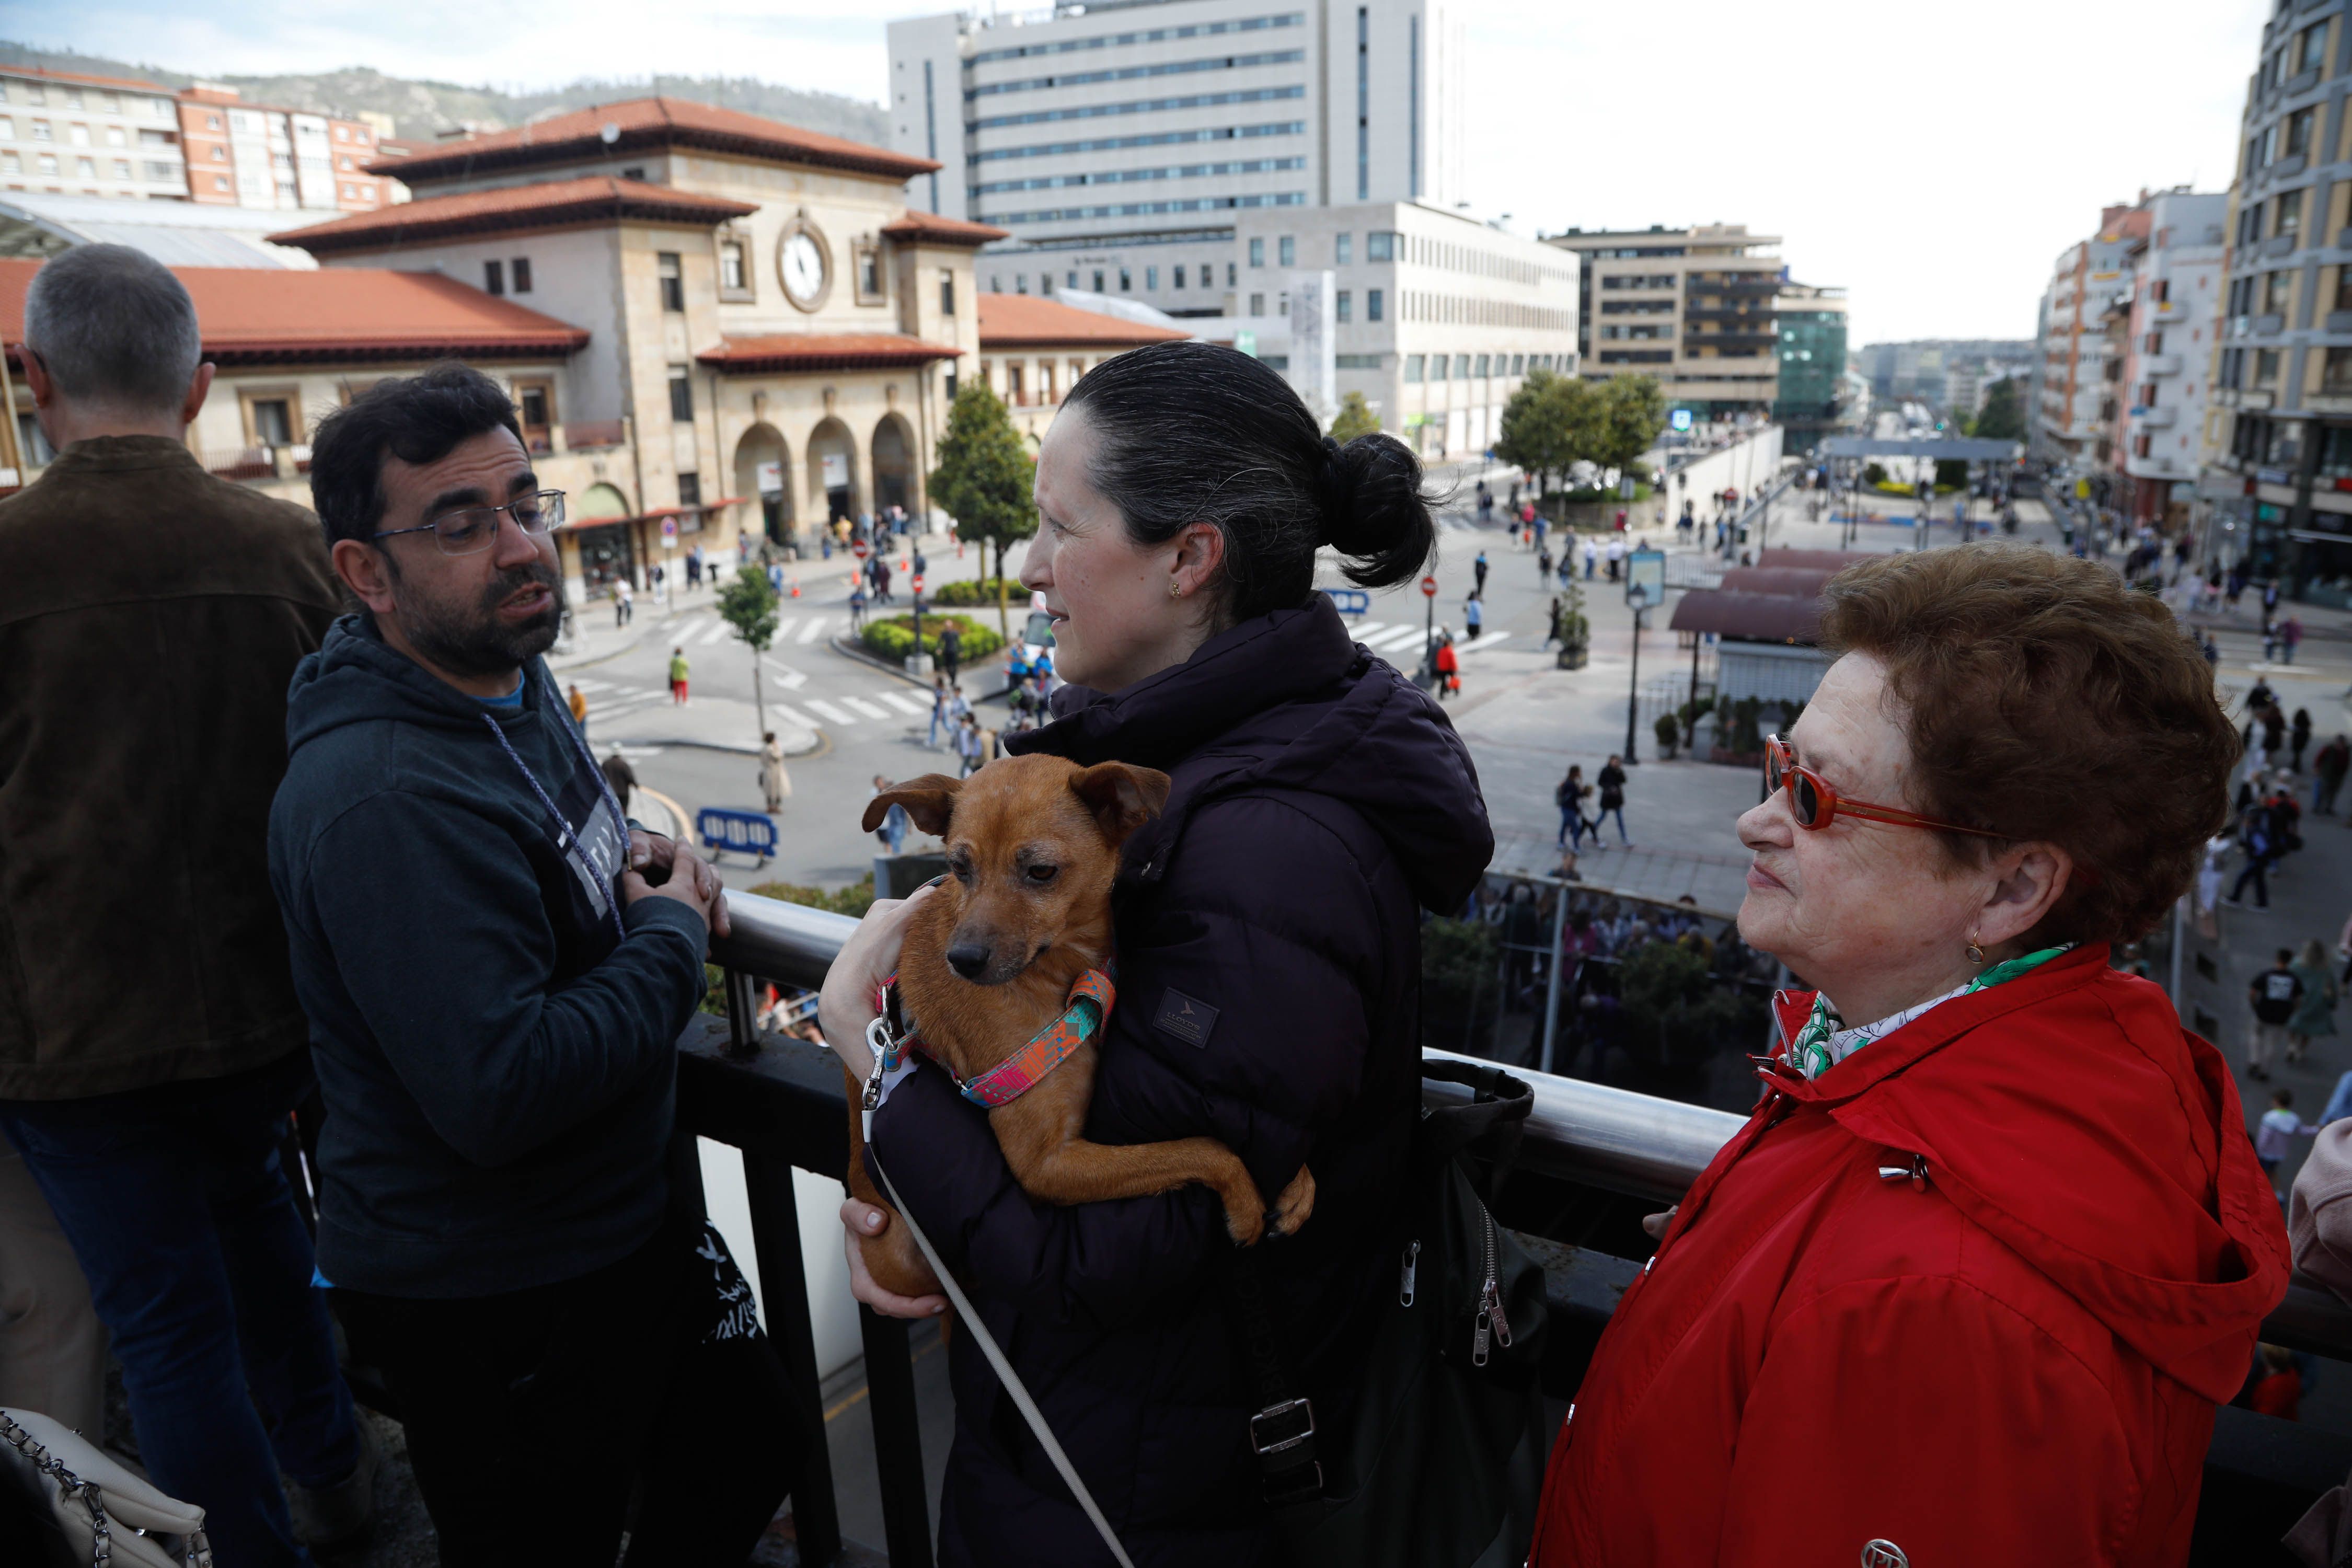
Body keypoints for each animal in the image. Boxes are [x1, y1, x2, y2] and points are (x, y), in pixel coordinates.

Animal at [851, 752, 1327, 1297]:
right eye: (957, 868)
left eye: (1041, 871)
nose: (963, 961)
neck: (1063, 974)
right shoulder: (1046, 1164)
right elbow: (1200, 1148)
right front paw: (1247, 1202)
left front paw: (1298, 1180)